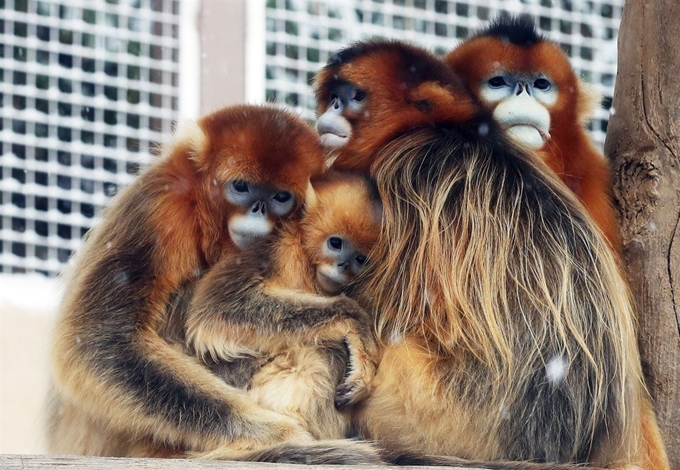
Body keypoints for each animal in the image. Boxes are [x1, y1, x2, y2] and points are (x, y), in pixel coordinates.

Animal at [314, 38, 668, 468]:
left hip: (433, 409)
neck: (446, 129)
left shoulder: (403, 172)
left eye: (354, 97)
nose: (334, 106)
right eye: (334, 94)